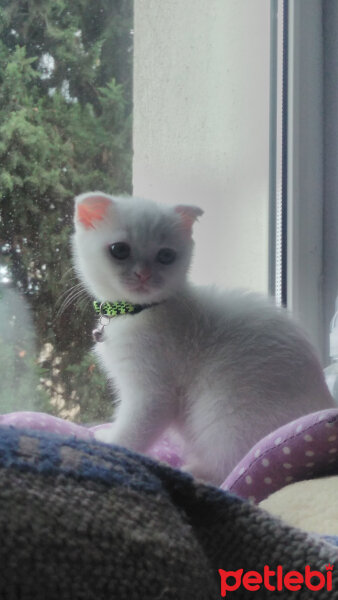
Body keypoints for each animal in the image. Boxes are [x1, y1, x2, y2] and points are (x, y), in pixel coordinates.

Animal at [72, 195, 334, 486]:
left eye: (166, 256)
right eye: (119, 249)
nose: (144, 274)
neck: (137, 312)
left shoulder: (154, 393)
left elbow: (134, 429)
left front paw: (110, 445)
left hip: (222, 413)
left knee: (228, 467)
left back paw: (191, 470)